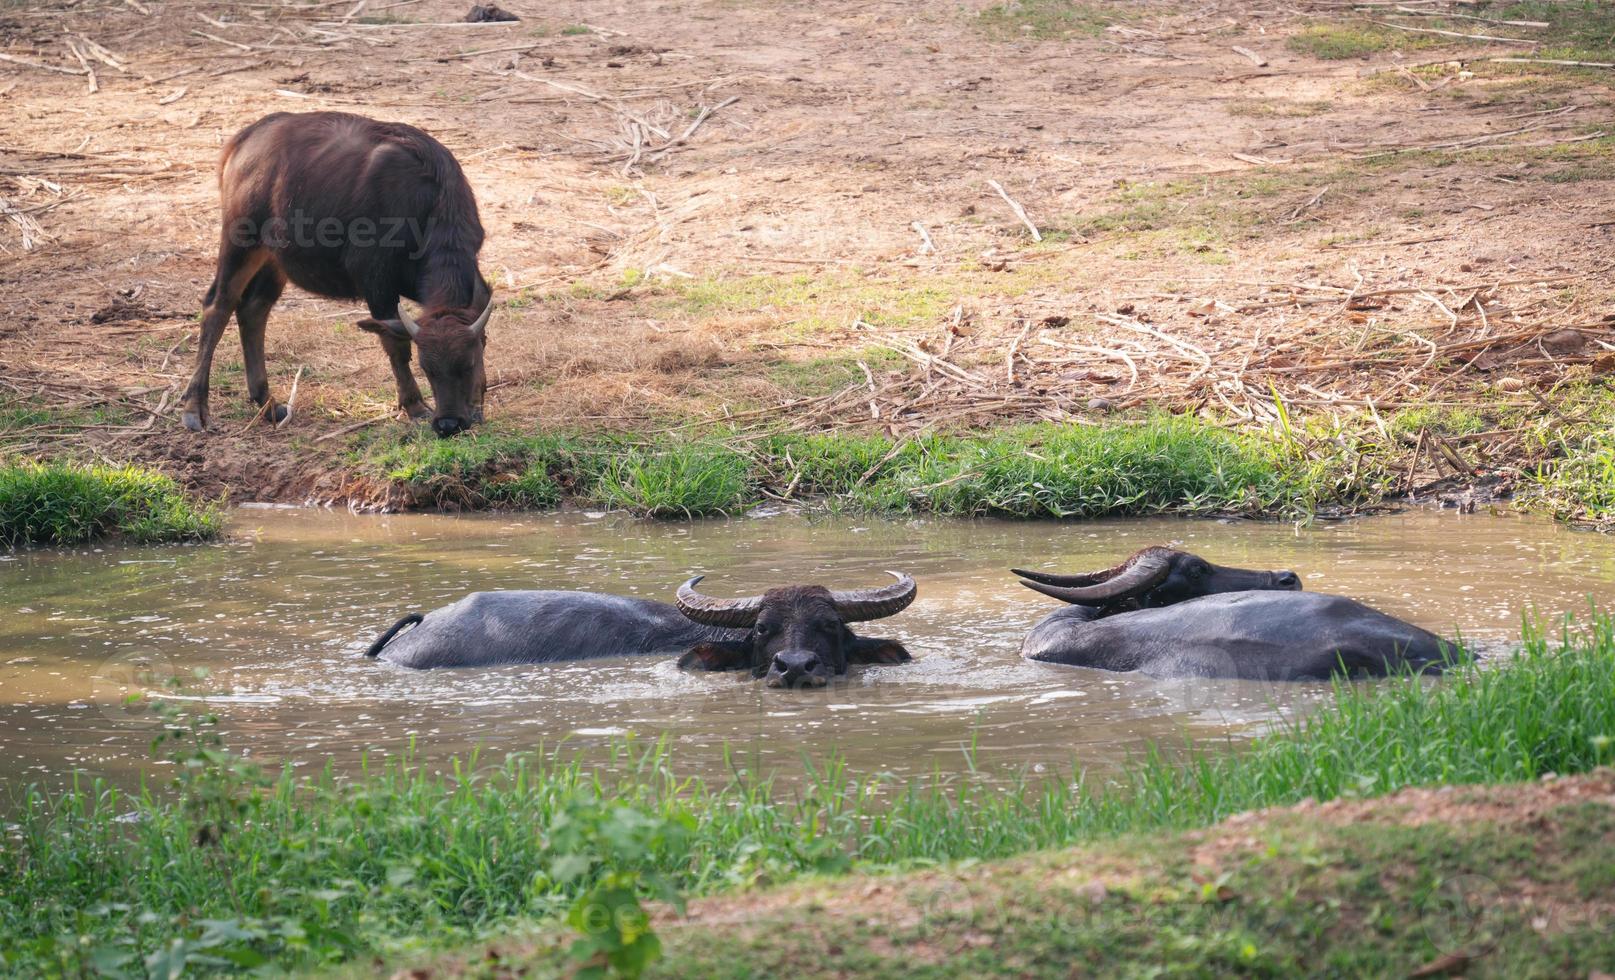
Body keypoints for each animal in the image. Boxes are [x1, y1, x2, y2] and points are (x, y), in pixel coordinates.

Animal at [181, 108, 484, 439]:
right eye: (427, 368)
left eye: (468, 365)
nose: (448, 424)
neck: (432, 205)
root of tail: (246, 137)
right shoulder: (376, 281)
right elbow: (395, 344)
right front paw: (414, 405)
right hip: (241, 242)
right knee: (218, 306)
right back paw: (195, 408)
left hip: (274, 258)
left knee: (253, 310)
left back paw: (268, 403)